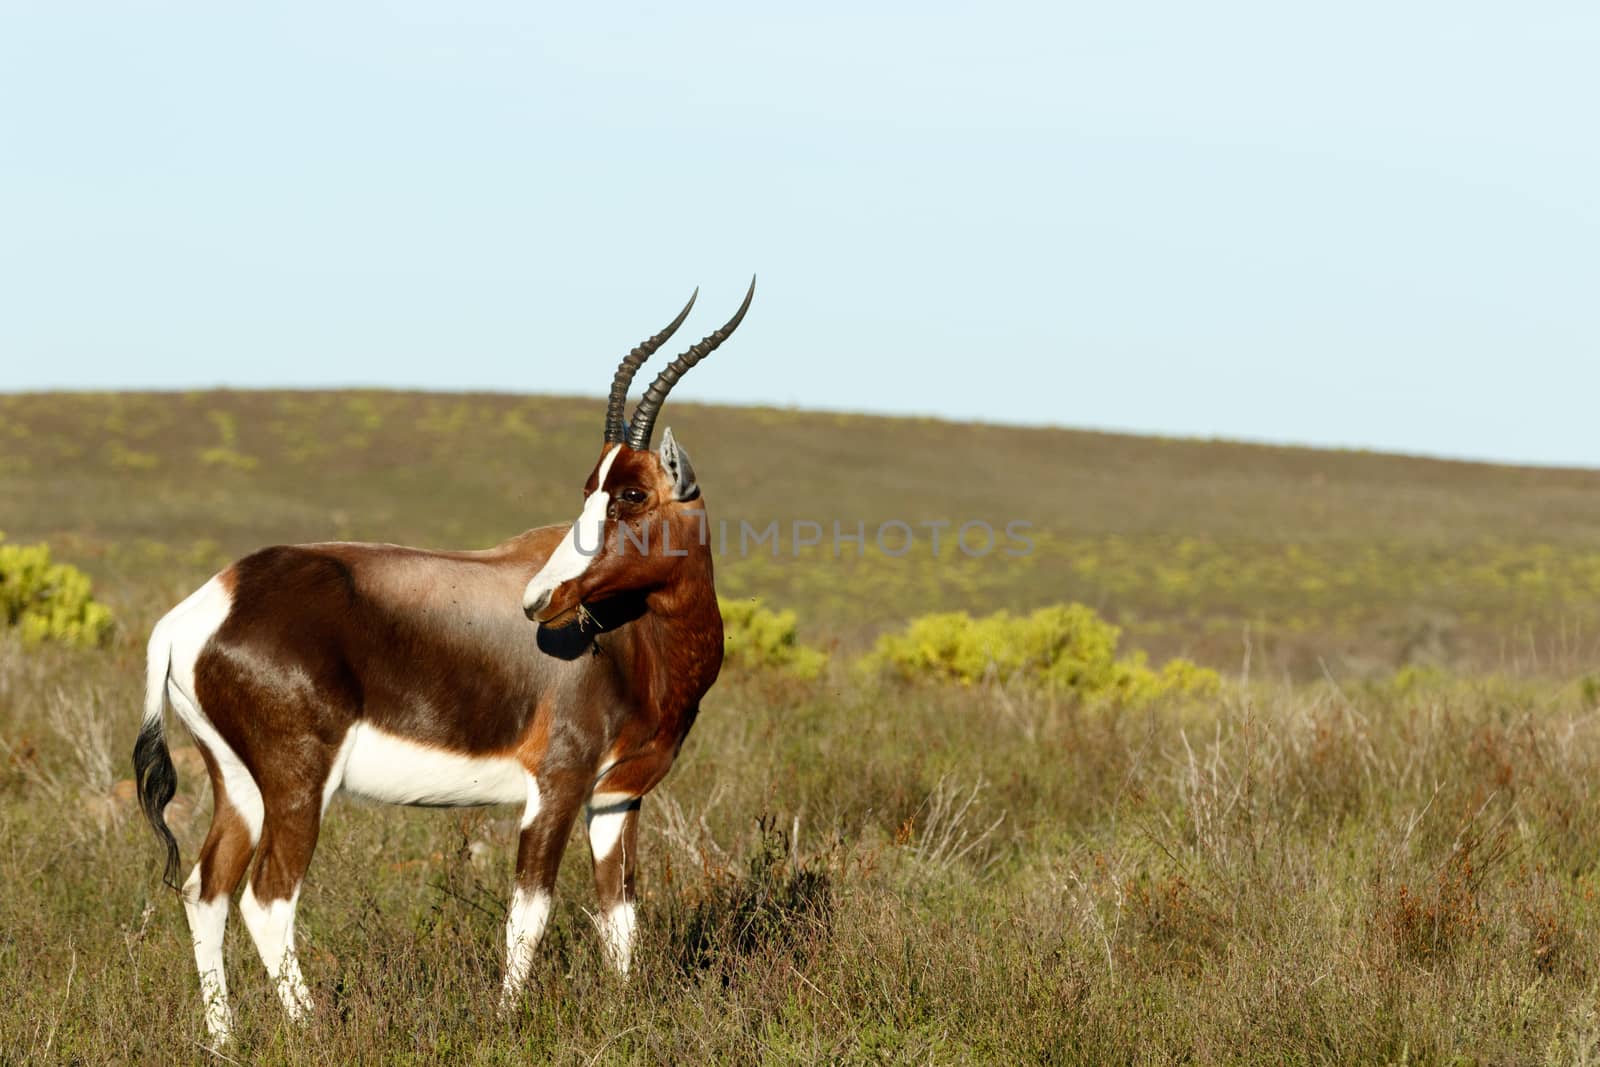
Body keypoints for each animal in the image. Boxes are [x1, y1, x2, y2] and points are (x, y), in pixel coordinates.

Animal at [134, 279, 752, 1036]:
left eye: (630, 492)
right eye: (593, 489)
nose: (539, 599)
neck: (630, 640)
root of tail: (202, 606)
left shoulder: (616, 799)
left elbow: (619, 913)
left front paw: (626, 1013)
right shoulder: (556, 786)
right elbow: (530, 913)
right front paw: (506, 1023)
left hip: (240, 783)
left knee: (206, 889)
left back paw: (224, 1039)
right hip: (298, 782)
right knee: (268, 896)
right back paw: (314, 1029)